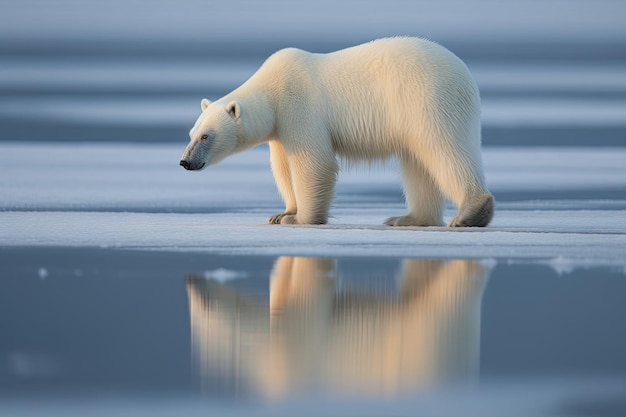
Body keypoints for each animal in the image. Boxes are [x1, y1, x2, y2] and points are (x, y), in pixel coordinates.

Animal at [179, 36, 492, 226]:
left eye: (206, 136)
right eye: (191, 133)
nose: (185, 162)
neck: (272, 90)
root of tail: (467, 77)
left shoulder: (299, 107)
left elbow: (313, 163)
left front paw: (299, 219)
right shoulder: (281, 130)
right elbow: (283, 168)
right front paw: (281, 213)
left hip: (428, 102)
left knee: (444, 151)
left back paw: (471, 213)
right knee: (418, 165)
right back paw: (407, 219)